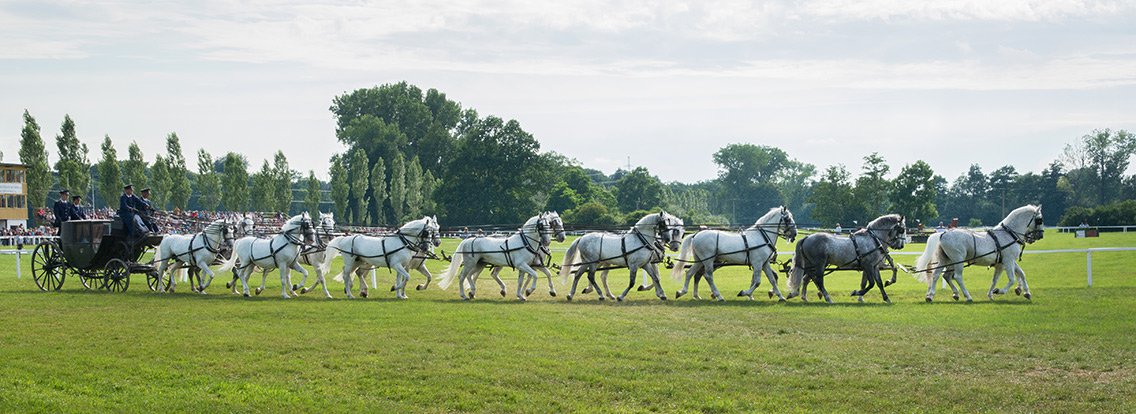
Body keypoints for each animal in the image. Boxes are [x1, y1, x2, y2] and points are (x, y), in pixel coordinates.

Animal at [913, 203, 1045, 300]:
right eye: (1039, 220)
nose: (1040, 235)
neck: (1009, 234)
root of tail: (944, 233)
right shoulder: (1008, 261)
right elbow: (1012, 278)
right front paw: (999, 291)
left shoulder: (1005, 262)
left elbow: (1018, 274)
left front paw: (1025, 292)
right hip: (958, 260)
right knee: (957, 276)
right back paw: (967, 296)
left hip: (946, 260)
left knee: (938, 275)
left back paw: (932, 296)